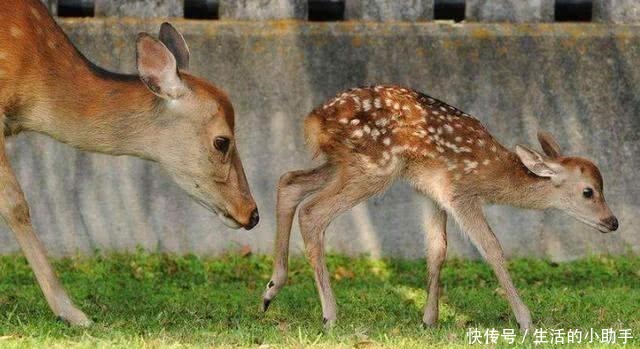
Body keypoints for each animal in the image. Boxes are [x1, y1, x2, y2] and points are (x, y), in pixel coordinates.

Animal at [262, 84, 616, 328]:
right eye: (589, 192)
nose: (612, 222)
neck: (492, 173)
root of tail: (313, 120)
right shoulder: (459, 192)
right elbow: (492, 248)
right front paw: (525, 320)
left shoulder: (433, 194)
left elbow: (437, 250)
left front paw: (429, 320)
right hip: (374, 167)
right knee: (313, 212)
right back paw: (329, 315)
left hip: (343, 164)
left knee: (289, 182)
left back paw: (271, 290)